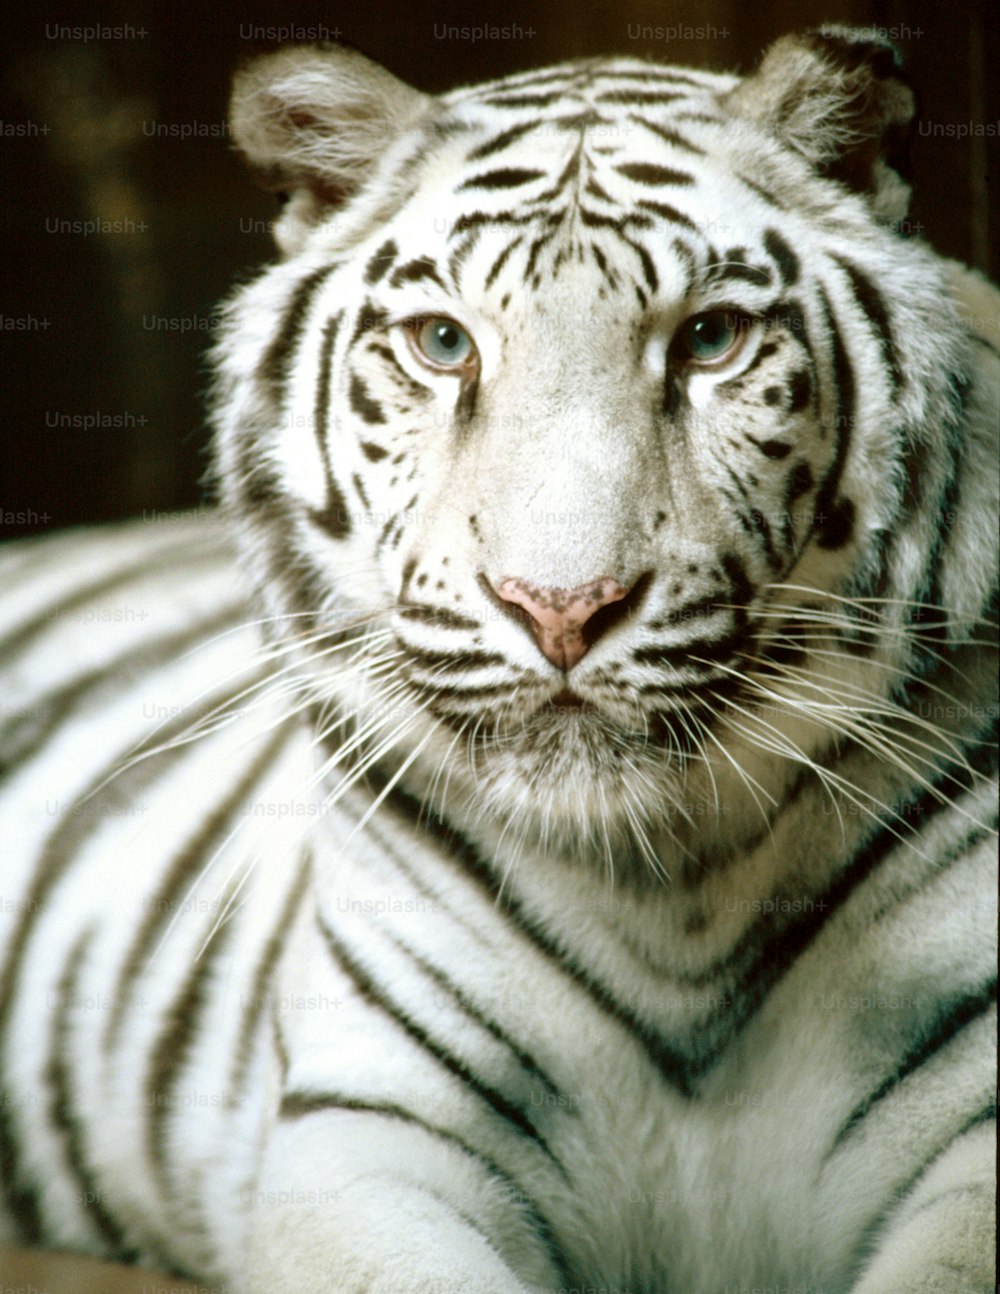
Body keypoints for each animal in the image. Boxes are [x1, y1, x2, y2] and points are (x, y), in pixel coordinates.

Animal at [1, 22, 998, 1294]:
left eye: (710, 339)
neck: (669, 895)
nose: (562, 607)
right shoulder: (373, 1137)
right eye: (443, 344)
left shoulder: (975, 1125)